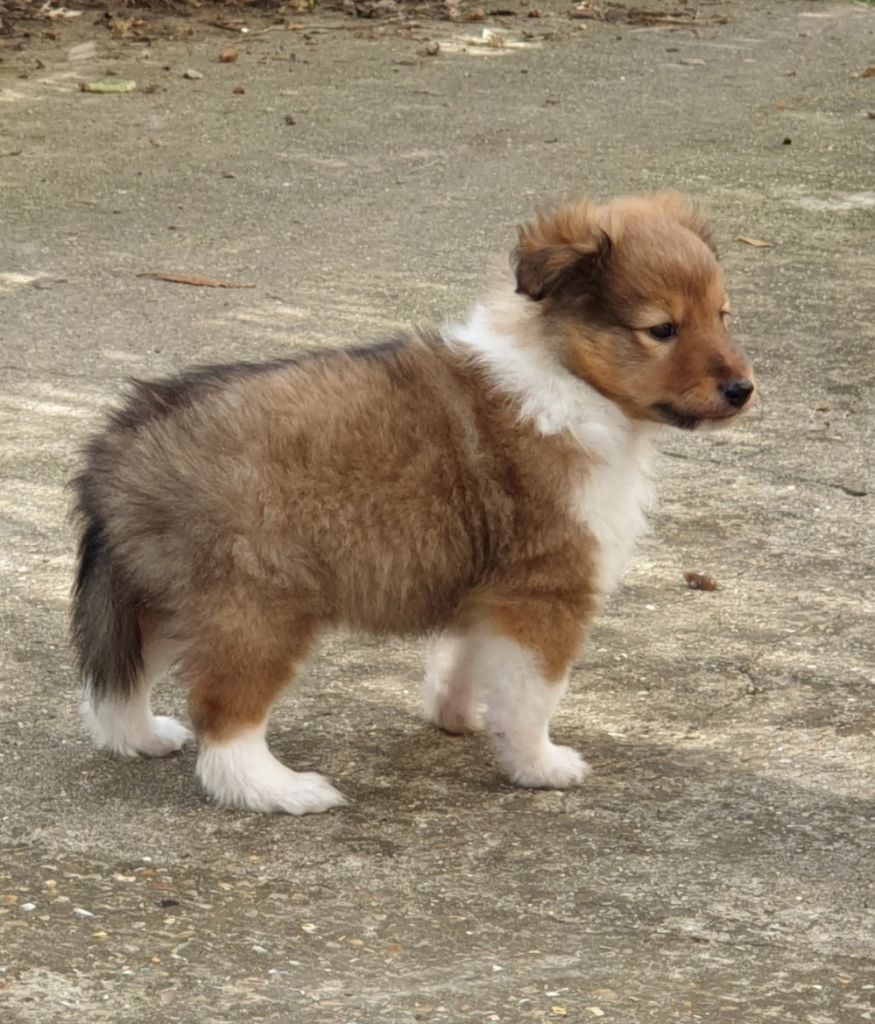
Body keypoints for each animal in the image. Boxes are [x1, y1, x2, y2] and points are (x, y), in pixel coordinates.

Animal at [70, 192, 754, 815]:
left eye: (722, 315)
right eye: (661, 329)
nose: (743, 390)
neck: (565, 376)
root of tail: (121, 443)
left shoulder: (488, 591)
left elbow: (465, 658)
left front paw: (458, 717)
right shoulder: (545, 591)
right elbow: (534, 694)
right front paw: (539, 765)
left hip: (158, 594)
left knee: (120, 686)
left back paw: (143, 736)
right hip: (257, 605)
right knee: (223, 719)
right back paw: (283, 791)